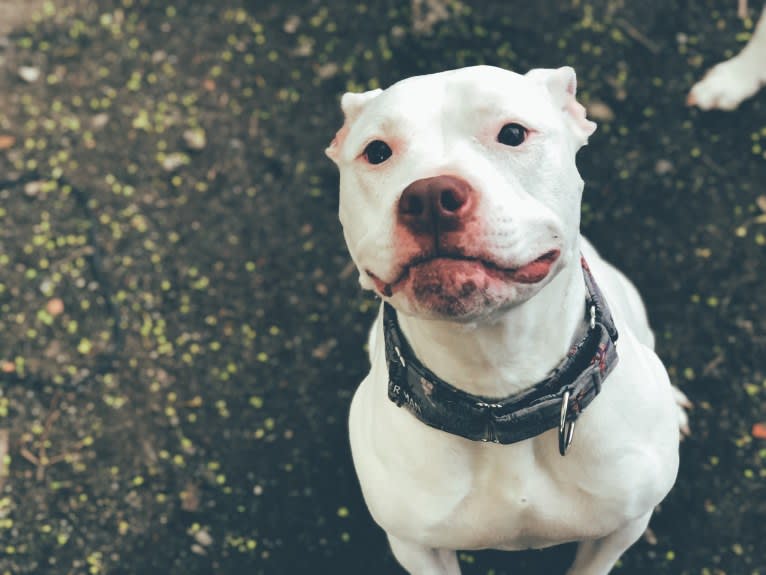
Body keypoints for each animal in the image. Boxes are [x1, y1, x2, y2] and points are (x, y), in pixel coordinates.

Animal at [324, 65, 688, 572]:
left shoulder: (622, 527)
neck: (498, 385)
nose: (430, 195)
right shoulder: (415, 546)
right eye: (377, 152)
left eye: (512, 133)